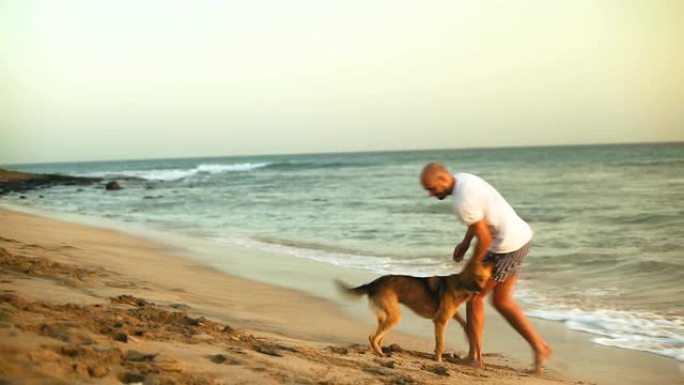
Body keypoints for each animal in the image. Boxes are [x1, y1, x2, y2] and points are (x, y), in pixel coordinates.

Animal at [336, 260, 492, 362]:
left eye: (484, 279)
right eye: (478, 278)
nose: (482, 291)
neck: (460, 283)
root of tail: (372, 284)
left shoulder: (449, 314)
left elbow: (464, 323)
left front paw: (468, 334)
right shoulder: (440, 321)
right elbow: (440, 344)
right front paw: (438, 361)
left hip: (386, 317)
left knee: (378, 336)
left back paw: (380, 352)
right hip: (394, 317)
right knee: (373, 337)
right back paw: (380, 354)